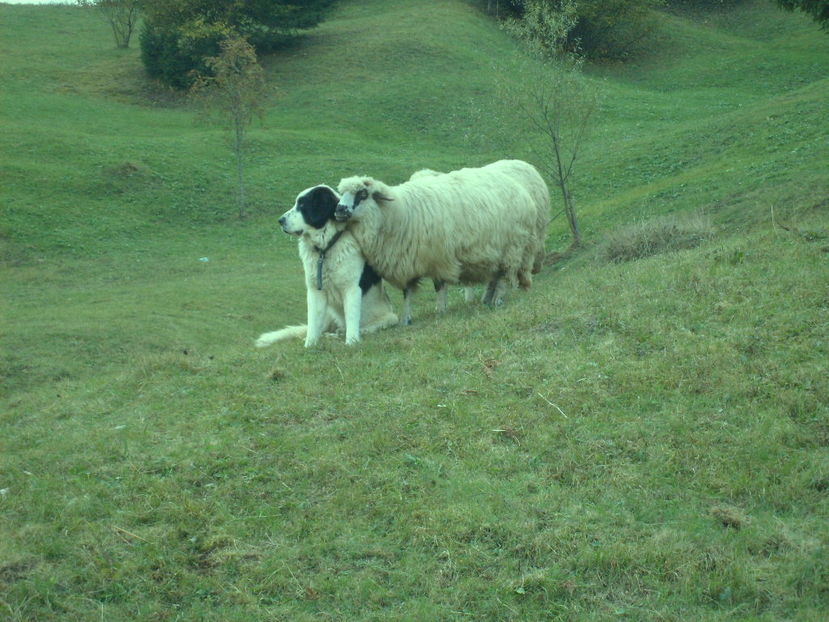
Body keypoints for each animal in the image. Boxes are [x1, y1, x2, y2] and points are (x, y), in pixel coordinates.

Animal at [256, 185, 398, 352]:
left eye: (303, 205)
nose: (280, 220)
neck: (324, 249)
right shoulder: (315, 291)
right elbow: (313, 323)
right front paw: (309, 345)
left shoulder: (351, 289)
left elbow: (351, 318)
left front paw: (351, 342)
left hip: (390, 317)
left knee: (363, 327)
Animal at [334, 161, 540, 326]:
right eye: (341, 193)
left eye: (362, 194)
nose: (339, 210)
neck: (399, 213)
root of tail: (519, 189)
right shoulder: (407, 261)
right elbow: (407, 293)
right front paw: (406, 319)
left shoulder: (438, 257)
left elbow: (439, 286)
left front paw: (440, 311)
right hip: (497, 251)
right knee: (496, 276)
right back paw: (488, 299)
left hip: (512, 247)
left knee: (505, 275)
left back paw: (497, 300)